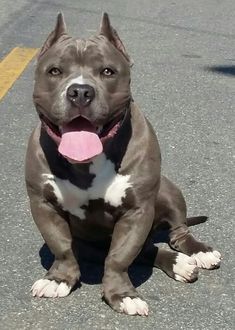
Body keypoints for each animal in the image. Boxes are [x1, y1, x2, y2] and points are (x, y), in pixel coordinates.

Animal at [24, 13, 221, 318]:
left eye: (108, 71)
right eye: (55, 71)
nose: (80, 91)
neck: (87, 164)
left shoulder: (137, 211)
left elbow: (119, 257)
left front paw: (122, 295)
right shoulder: (43, 204)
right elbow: (62, 247)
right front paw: (58, 279)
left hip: (169, 190)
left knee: (177, 233)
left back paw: (197, 252)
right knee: (148, 250)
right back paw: (178, 264)